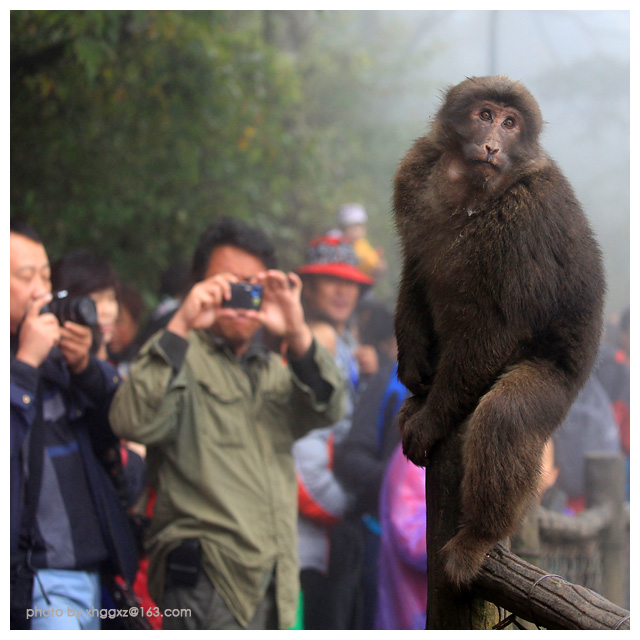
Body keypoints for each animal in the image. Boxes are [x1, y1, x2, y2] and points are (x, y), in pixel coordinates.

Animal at [392, 75, 608, 584]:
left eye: (511, 124)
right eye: (486, 115)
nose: (492, 143)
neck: (472, 190)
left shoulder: (526, 221)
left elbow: (500, 328)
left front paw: (431, 420)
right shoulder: (414, 171)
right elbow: (415, 268)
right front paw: (412, 368)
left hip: (560, 387)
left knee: (505, 416)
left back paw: (479, 535)